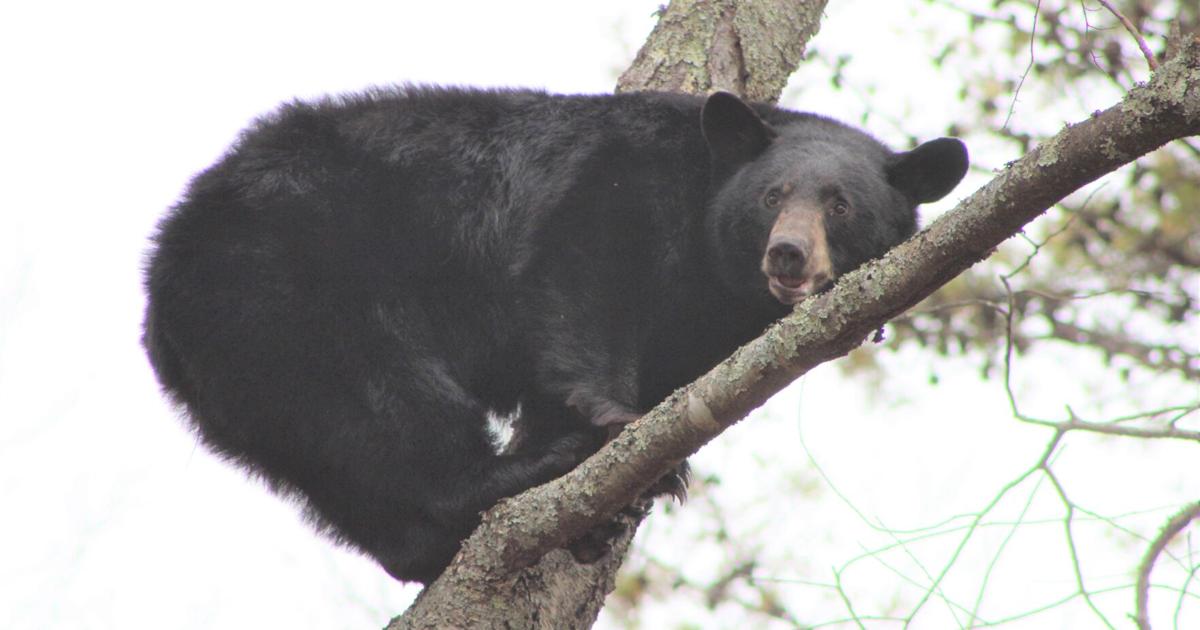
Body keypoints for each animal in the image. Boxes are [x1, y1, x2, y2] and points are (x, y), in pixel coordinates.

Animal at [142, 86, 968, 584]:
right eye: (772, 195)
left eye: (841, 204)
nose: (788, 256)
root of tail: (162, 278)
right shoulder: (618, 182)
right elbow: (583, 281)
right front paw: (620, 430)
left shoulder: (699, 323)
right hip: (292, 284)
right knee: (385, 401)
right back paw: (520, 474)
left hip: (243, 380)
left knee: (332, 464)